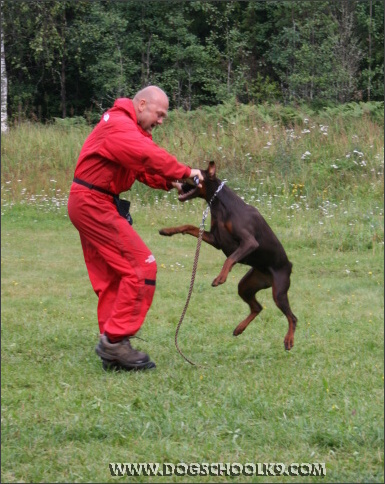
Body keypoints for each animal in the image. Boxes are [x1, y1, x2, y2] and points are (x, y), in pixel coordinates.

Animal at [159, 161, 296, 350]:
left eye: (191, 178)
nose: (175, 182)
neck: (220, 205)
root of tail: (289, 265)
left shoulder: (249, 242)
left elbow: (229, 259)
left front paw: (221, 277)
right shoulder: (215, 239)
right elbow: (188, 226)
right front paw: (168, 231)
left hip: (279, 291)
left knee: (292, 317)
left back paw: (289, 339)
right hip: (246, 285)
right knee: (257, 307)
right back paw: (239, 328)